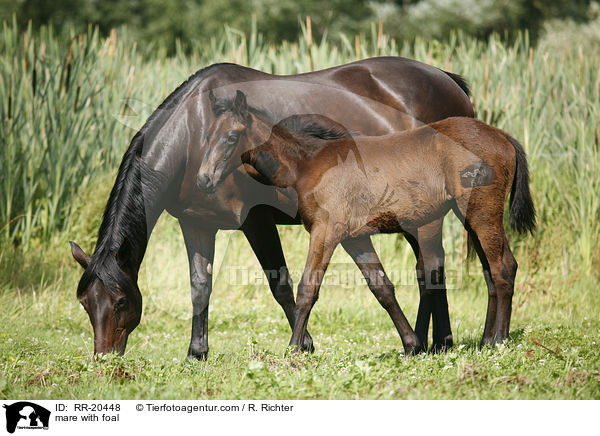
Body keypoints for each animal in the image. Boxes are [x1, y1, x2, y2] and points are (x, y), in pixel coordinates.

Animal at [239, 113, 536, 354]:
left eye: (232, 136)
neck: (311, 163)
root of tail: (502, 136)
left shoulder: (326, 231)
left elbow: (308, 287)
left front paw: (295, 348)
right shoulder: (354, 237)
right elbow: (382, 286)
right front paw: (412, 344)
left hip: (480, 215)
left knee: (501, 268)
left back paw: (499, 339)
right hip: (468, 219)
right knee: (487, 271)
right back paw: (483, 340)